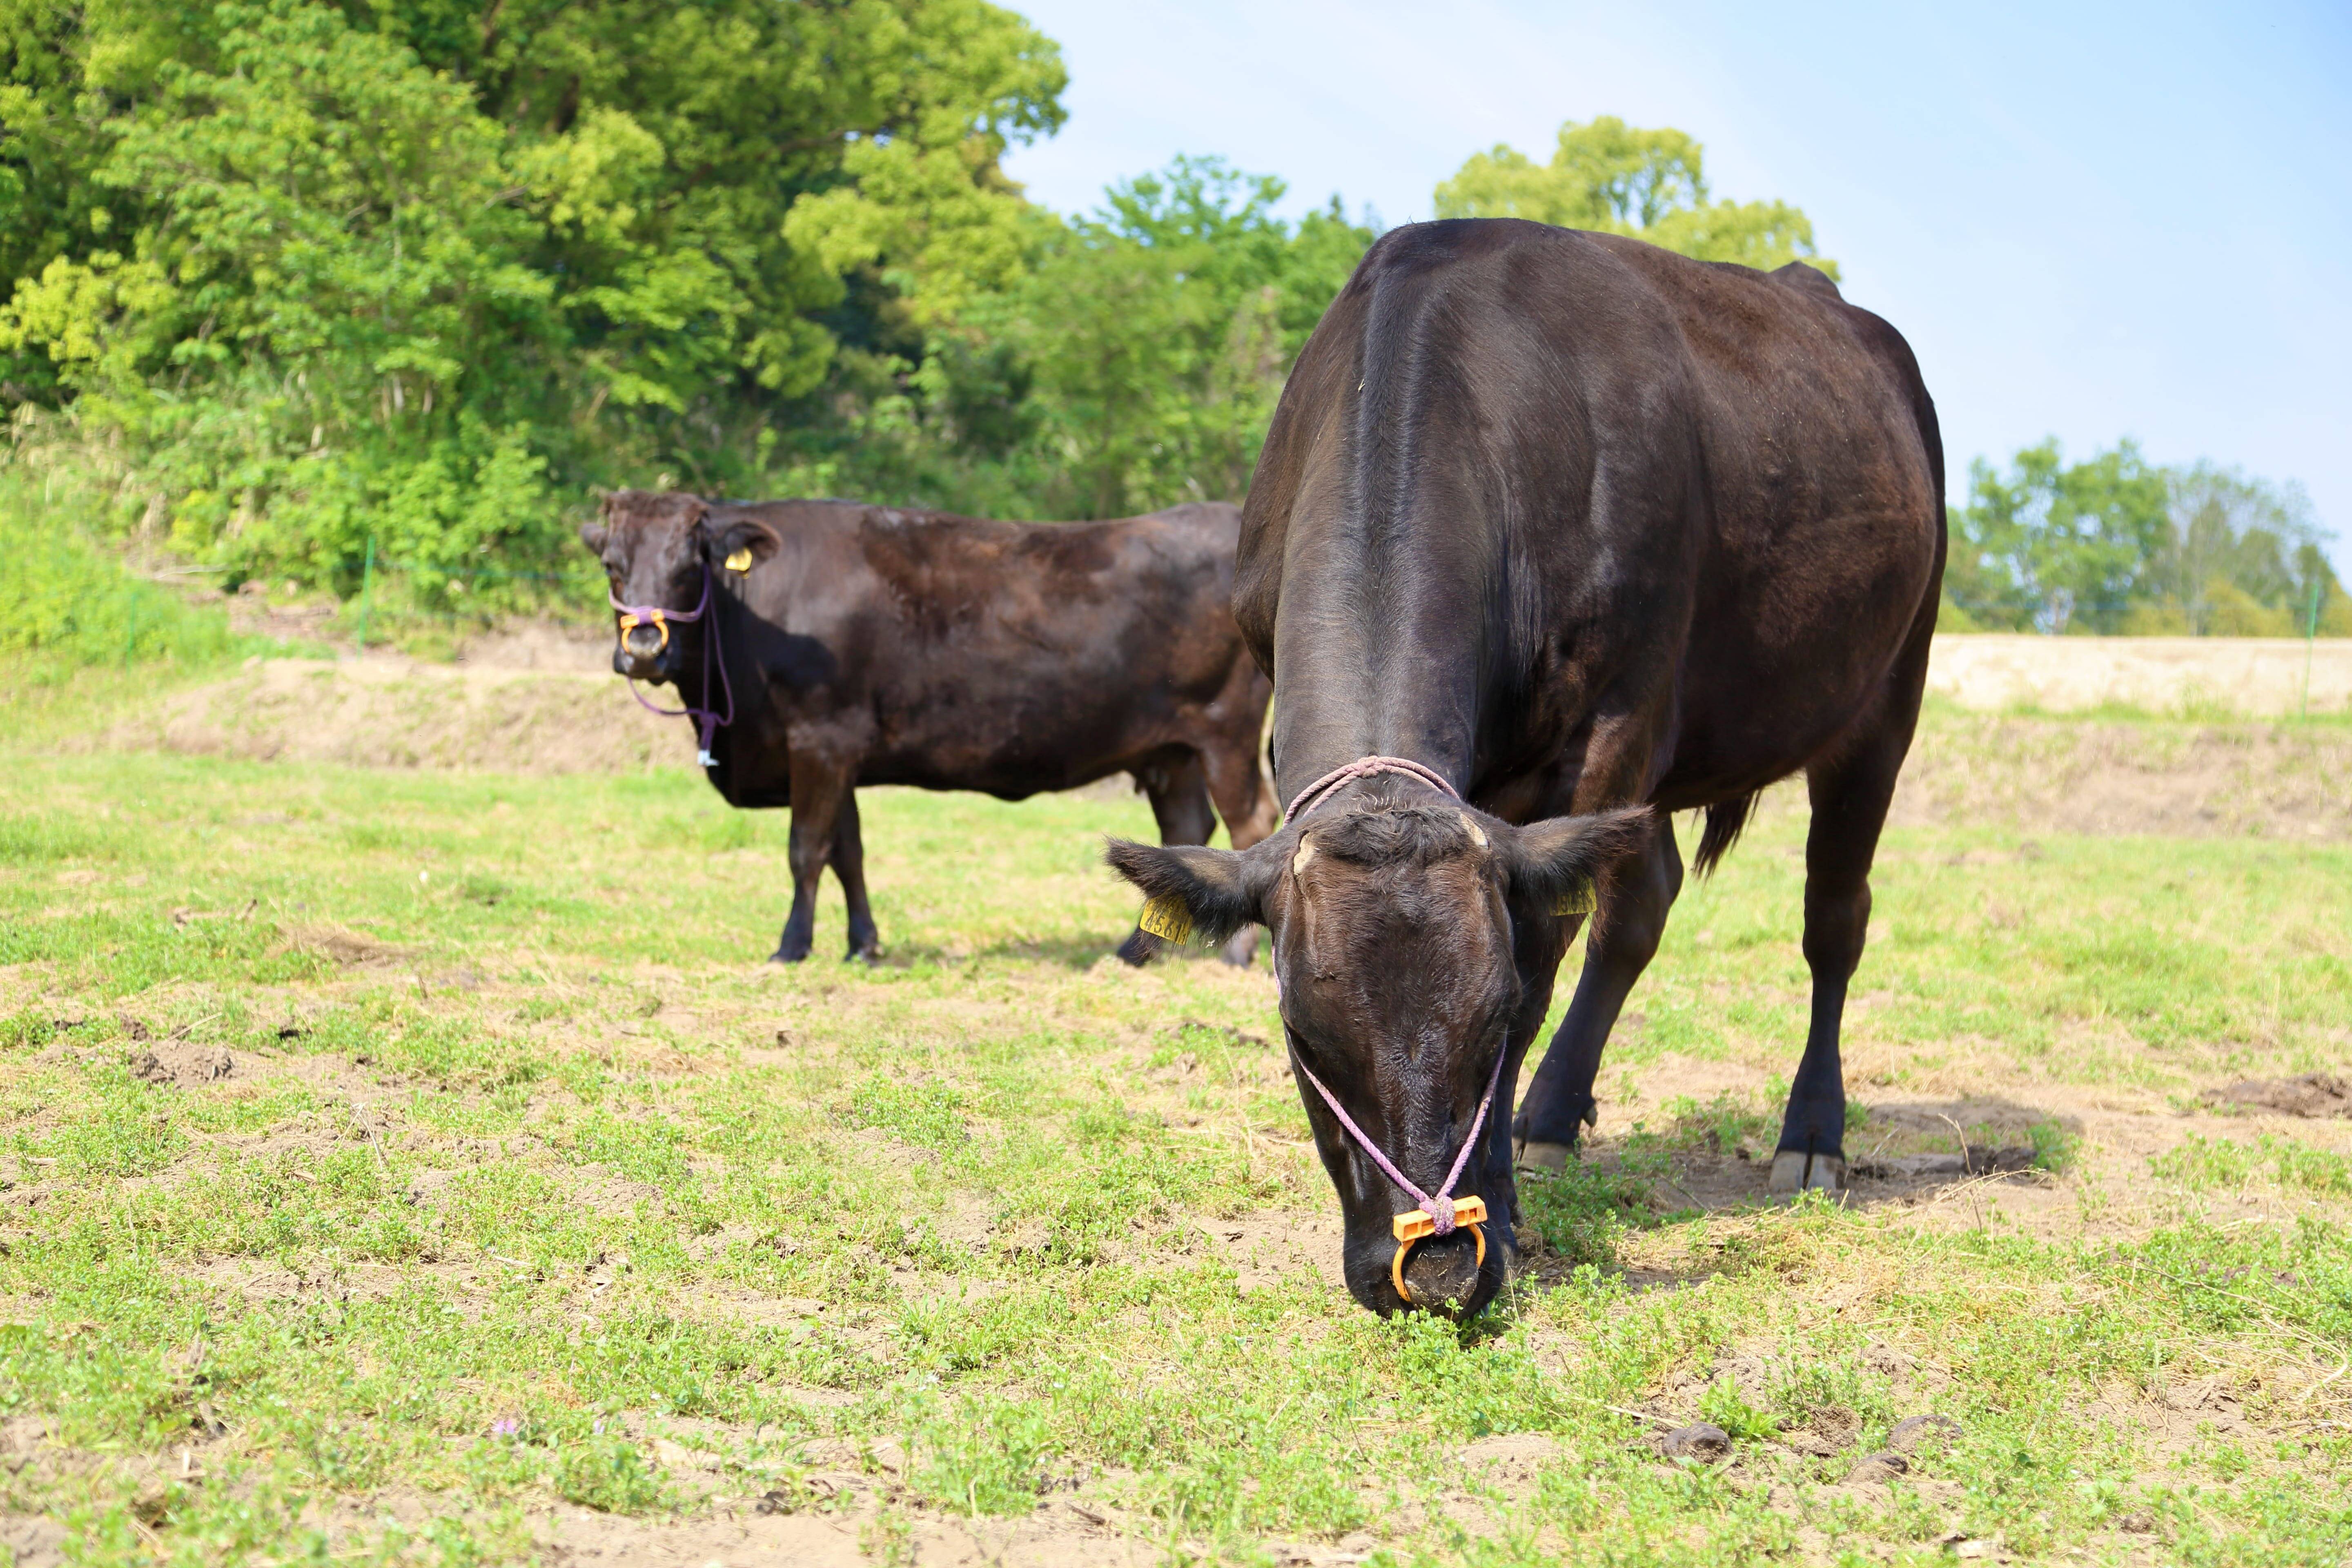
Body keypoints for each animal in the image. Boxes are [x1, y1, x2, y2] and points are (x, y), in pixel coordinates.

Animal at [588, 491, 1279, 964]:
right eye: (612, 567)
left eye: (689, 566)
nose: (644, 649)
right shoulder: (838, 753)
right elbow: (847, 852)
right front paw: (863, 945)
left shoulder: (819, 737)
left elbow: (805, 849)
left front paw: (791, 946)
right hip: (1171, 749)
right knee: (1184, 831)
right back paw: (1134, 954)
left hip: (1226, 732)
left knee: (1250, 824)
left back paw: (1237, 955)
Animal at [1100, 221, 1947, 1316]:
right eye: (1302, 1033)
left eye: (1494, 1015)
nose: (1433, 1264)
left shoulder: (1609, 729)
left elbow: (1547, 957)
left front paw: (1498, 1206)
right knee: (1644, 904)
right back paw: (1552, 1114)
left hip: (1885, 695)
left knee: (1832, 918)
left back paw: (1810, 1134)